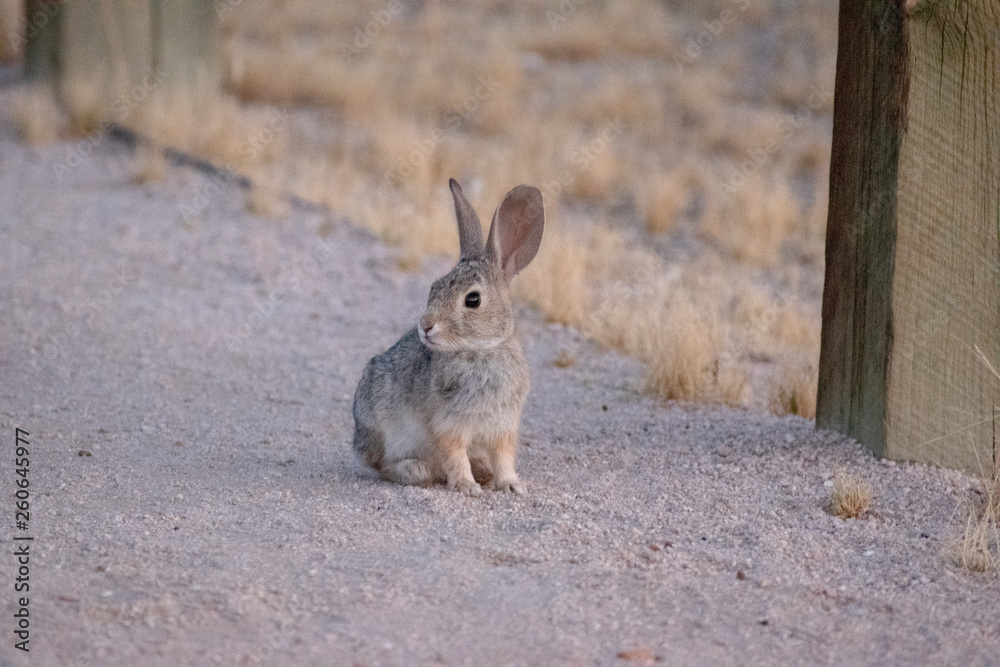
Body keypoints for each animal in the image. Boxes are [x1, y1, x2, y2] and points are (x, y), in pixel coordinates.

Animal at [352, 178, 544, 496]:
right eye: (434, 288)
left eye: (473, 300)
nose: (426, 326)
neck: (480, 351)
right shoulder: (448, 424)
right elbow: (454, 455)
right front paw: (467, 487)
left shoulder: (503, 426)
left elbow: (504, 458)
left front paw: (511, 485)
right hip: (382, 426)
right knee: (383, 465)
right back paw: (416, 469)